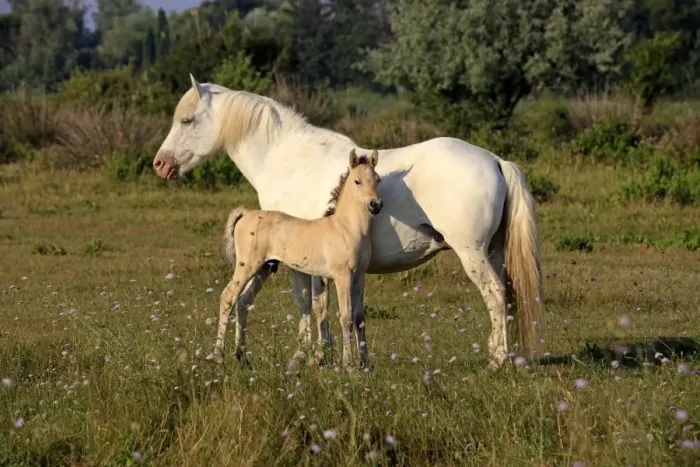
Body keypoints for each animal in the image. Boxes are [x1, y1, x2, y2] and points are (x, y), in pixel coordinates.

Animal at [214, 149, 382, 368]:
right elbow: (346, 317)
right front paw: (349, 365)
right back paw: (218, 356)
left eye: (377, 180)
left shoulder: (359, 276)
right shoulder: (342, 276)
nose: (375, 205)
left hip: (263, 268)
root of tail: (246, 213)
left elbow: (360, 317)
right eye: (357, 181)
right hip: (247, 266)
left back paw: (242, 357)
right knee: (228, 297)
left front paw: (365, 364)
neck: (345, 228)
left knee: (243, 301)